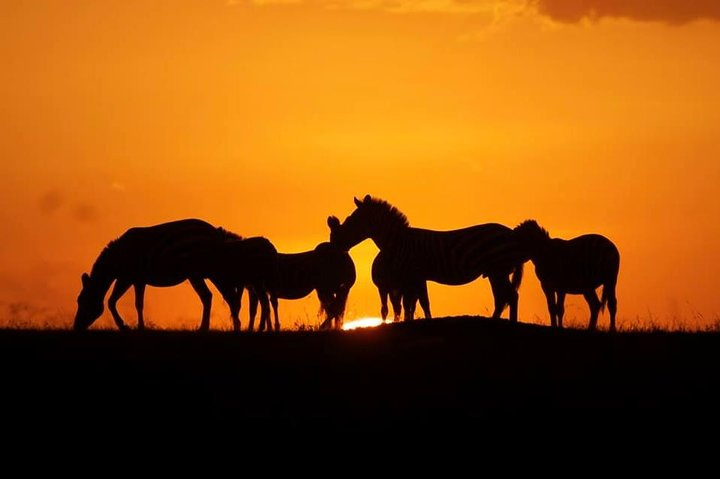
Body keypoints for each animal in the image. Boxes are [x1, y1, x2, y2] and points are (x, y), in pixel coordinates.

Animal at [73, 218, 278, 332]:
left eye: (83, 301)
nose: (75, 327)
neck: (119, 256)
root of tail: (216, 233)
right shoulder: (136, 279)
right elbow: (136, 303)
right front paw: (138, 326)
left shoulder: (128, 277)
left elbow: (113, 302)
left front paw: (126, 326)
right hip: (199, 274)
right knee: (213, 297)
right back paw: (210, 328)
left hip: (208, 272)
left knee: (228, 298)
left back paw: (226, 327)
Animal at [328, 195, 527, 322]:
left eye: (352, 220)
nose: (335, 242)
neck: (399, 242)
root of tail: (513, 235)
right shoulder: (416, 278)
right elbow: (419, 304)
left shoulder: (411, 277)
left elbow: (412, 304)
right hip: (495, 272)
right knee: (502, 298)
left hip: (498, 269)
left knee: (510, 296)